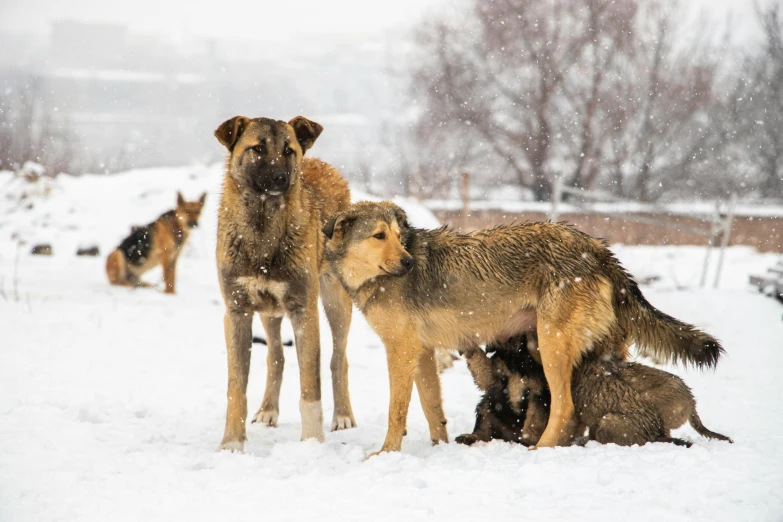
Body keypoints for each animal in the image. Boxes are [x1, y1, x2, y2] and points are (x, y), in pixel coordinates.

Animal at [214, 116, 356, 448]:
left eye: (289, 150)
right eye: (257, 148)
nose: (280, 178)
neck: (263, 229)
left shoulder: (304, 311)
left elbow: (310, 388)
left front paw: (312, 442)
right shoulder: (237, 311)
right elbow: (236, 387)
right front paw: (232, 444)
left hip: (336, 302)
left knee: (338, 359)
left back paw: (343, 417)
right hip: (269, 312)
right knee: (275, 356)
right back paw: (268, 410)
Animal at [456, 334, 732, 446]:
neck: (518, 359)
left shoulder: (539, 393)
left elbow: (534, 416)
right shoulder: (494, 380)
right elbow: (483, 370)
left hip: (608, 420)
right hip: (486, 407)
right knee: (484, 427)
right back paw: (470, 437)